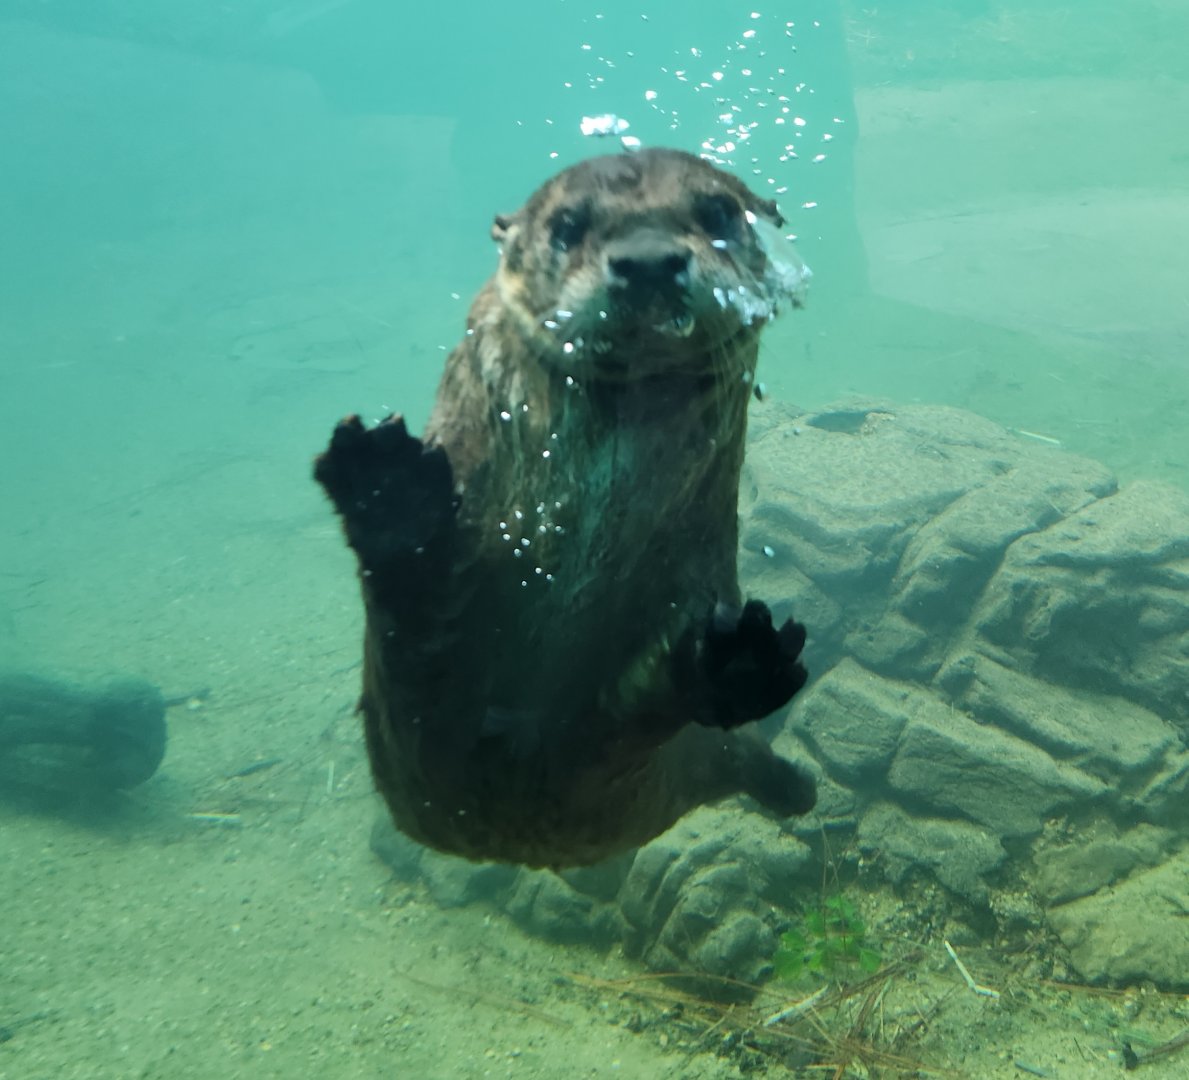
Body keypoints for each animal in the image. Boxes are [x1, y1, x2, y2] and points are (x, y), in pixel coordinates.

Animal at [315, 148, 815, 868]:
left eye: (718, 212)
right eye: (568, 225)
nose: (647, 260)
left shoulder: (694, 567)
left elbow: (640, 701)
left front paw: (740, 657)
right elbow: (415, 614)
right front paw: (387, 485)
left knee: (742, 757)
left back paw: (795, 781)